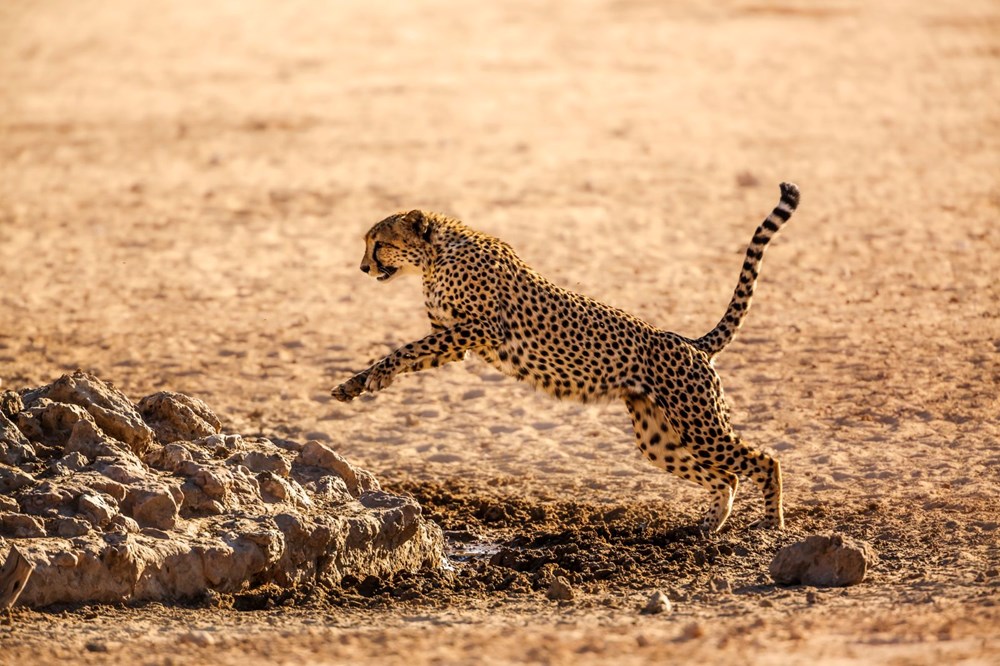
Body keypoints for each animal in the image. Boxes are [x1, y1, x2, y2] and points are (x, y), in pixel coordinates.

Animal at [332, 180, 800, 528]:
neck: (434, 257)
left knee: (763, 461)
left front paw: (376, 375)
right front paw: (355, 384)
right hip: (660, 438)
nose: (363, 268)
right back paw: (711, 524)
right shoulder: (454, 339)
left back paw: (771, 524)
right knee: (728, 475)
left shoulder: (480, 330)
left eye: (379, 243)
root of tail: (689, 341)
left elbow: (407, 348)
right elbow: (413, 352)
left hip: (699, 425)